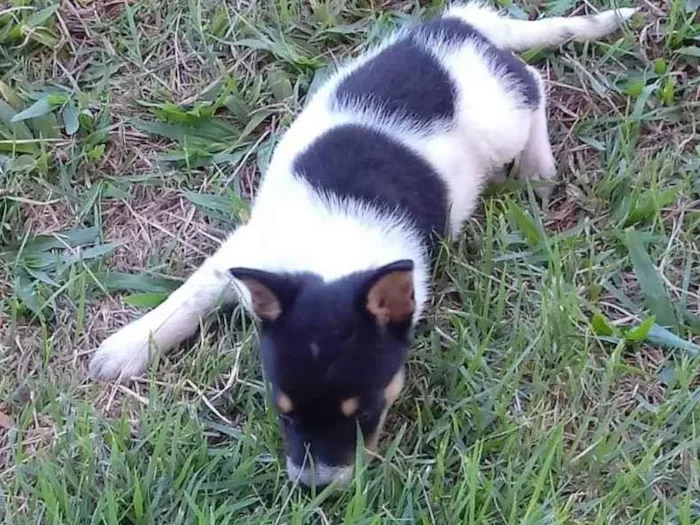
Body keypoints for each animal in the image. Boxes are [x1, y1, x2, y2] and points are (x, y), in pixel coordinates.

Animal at [87, 3, 636, 488]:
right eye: (282, 411)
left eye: (363, 413)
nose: (314, 488)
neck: (331, 250)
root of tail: (459, 25)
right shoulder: (244, 253)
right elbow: (191, 294)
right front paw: (129, 346)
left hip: (500, 116)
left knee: (532, 82)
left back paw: (537, 167)